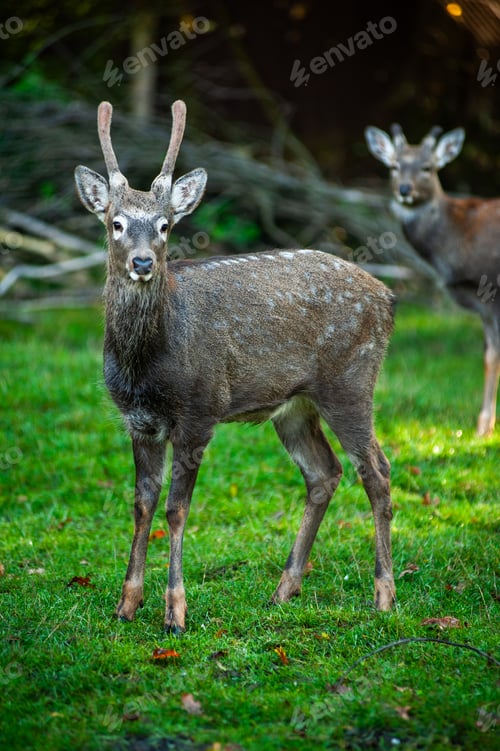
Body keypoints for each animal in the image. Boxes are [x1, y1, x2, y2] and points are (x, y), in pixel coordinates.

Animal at [74, 99, 396, 633]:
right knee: (324, 473)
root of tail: (389, 298)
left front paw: (175, 613)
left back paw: (384, 596)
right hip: (295, 407)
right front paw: (126, 605)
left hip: (352, 380)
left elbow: (176, 509)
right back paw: (284, 590)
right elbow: (141, 504)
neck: (147, 365)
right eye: (116, 223)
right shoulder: (137, 420)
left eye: (164, 225)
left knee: (377, 471)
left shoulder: (200, 410)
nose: (142, 262)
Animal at [365, 123, 500, 437]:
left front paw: (484, 428)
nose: (404, 190)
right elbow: (489, 356)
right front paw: (484, 426)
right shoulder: (484, 305)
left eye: (427, 167)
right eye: (394, 166)